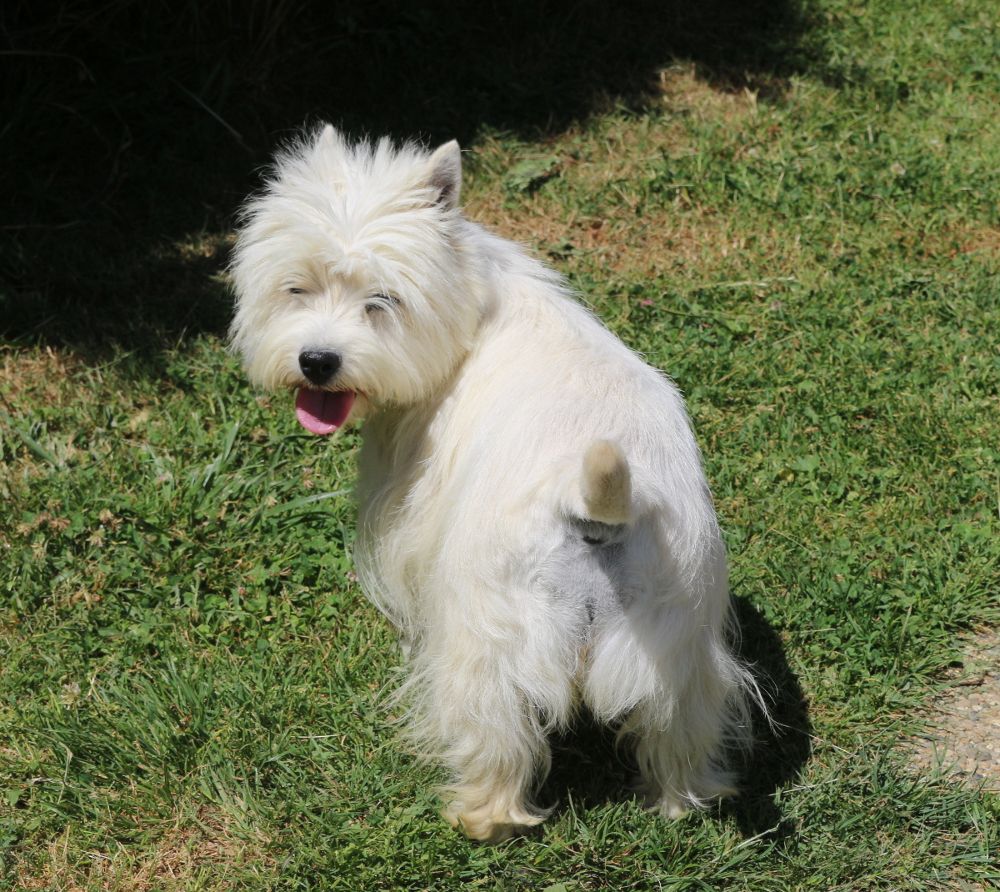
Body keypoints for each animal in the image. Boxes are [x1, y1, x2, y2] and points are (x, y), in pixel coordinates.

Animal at [229, 127, 756, 844]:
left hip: (494, 634)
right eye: (297, 287)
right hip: (680, 639)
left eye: (382, 300)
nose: (317, 361)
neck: (469, 309)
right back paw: (680, 802)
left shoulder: (409, 510)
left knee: (498, 735)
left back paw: (481, 816)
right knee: (680, 734)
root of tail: (599, 507)